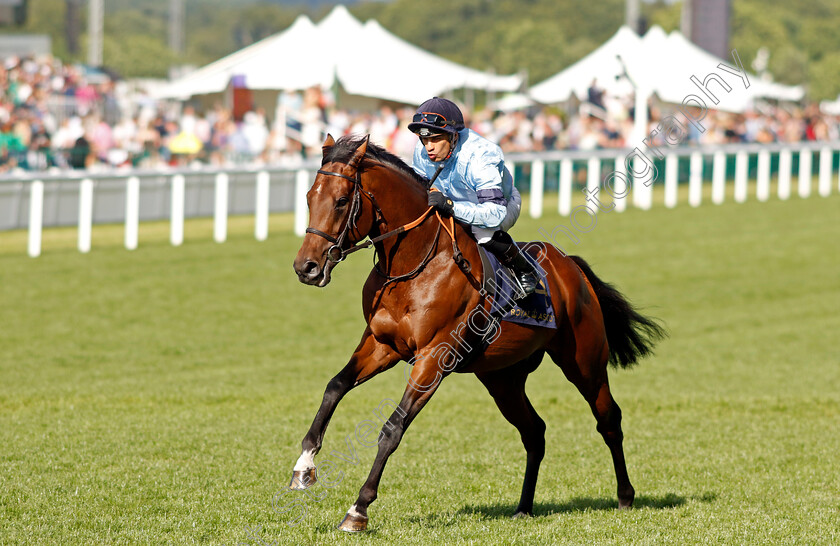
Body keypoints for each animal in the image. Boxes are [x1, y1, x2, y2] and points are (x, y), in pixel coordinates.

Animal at [288, 134, 664, 528]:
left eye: (342, 201)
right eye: (309, 197)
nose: (306, 267)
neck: (414, 264)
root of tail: (570, 267)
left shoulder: (433, 357)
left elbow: (393, 428)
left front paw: (358, 509)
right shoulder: (381, 344)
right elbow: (335, 387)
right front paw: (304, 468)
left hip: (585, 362)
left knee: (608, 419)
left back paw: (625, 496)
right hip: (503, 378)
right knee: (534, 432)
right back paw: (523, 506)